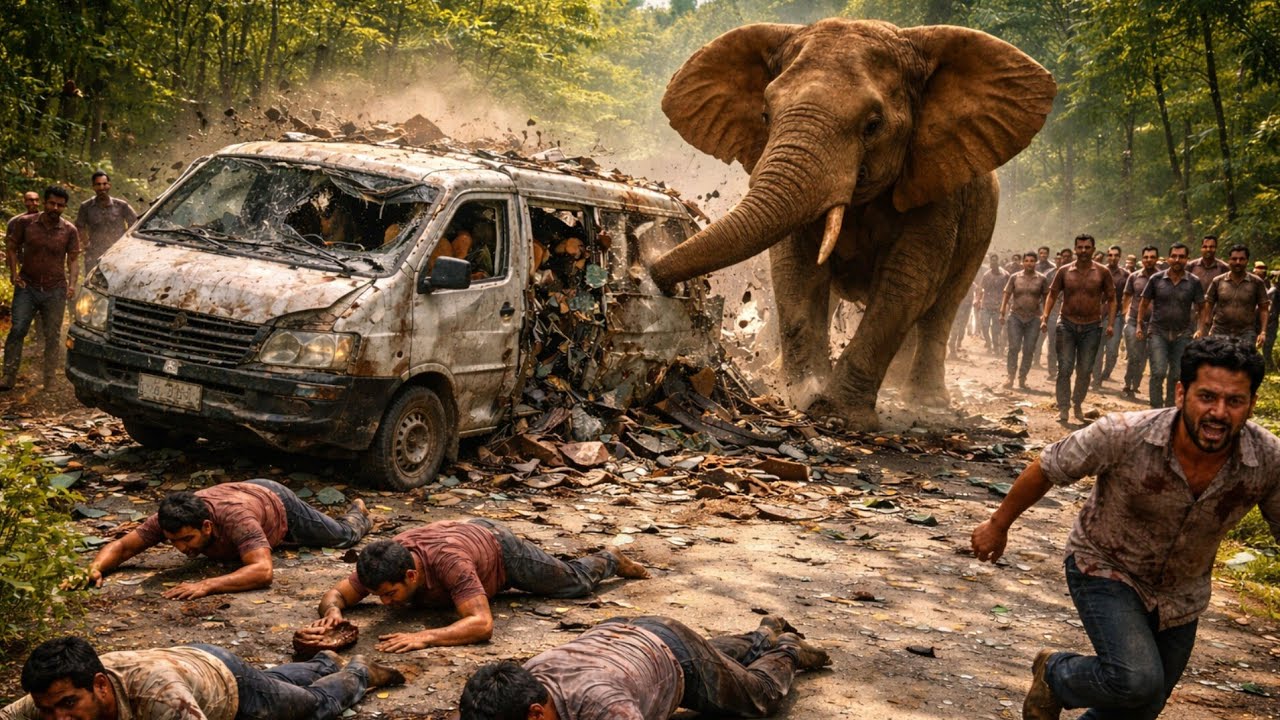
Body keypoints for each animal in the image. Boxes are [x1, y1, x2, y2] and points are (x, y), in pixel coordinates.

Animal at [650, 18, 1056, 429]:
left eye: (873, 125)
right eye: (765, 115)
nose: (654, 274)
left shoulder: (935, 184)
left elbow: (905, 281)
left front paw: (838, 415)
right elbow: (797, 269)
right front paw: (802, 395)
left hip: (980, 230)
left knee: (941, 308)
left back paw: (925, 403)